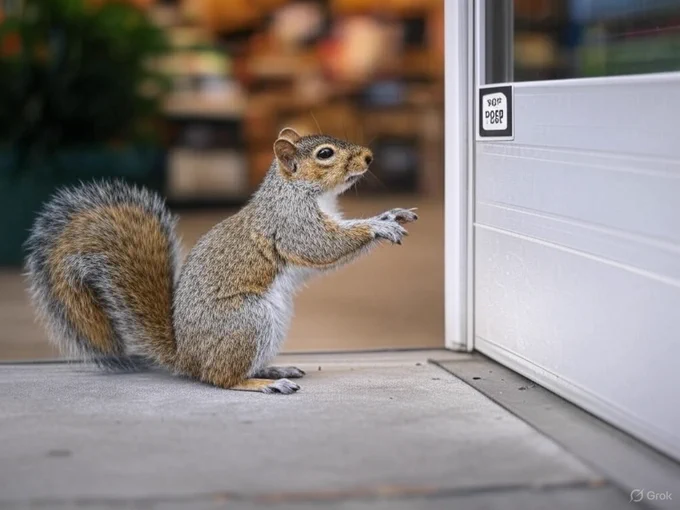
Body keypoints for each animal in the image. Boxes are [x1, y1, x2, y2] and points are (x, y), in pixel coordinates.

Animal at [25, 128, 418, 394]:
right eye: (325, 154)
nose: (369, 157)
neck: (301, 192)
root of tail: (186, 357)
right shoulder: (290, 224)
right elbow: (322, 246)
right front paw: (378, 225)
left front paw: (391, 214)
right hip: (247, 320)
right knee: (220, 378)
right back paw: (261, 383)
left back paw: (272, 371)